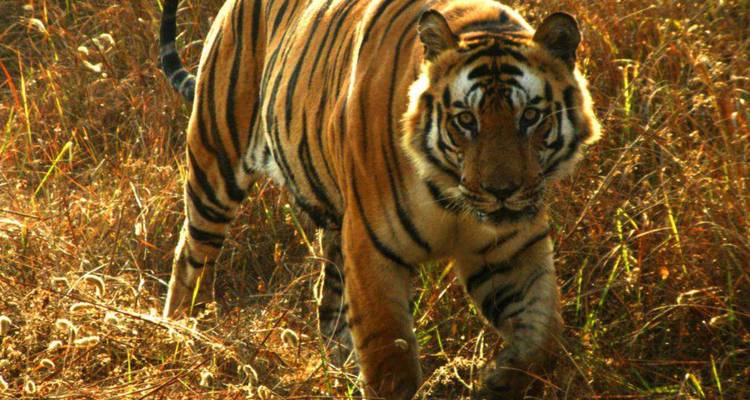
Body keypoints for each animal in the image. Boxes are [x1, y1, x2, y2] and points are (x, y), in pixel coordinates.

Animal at [159, 0, 601, 398]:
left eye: (530, 117)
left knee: (329, 307)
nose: (502, 192)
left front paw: (499, 380)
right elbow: (390, 361)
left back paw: (340, 375)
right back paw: (179, 334)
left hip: (335, 227)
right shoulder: (373, 250)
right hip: (214, 165)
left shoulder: (512, 253)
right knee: (189, 258)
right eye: (465, 120)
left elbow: (543, 338)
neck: (453, 196)